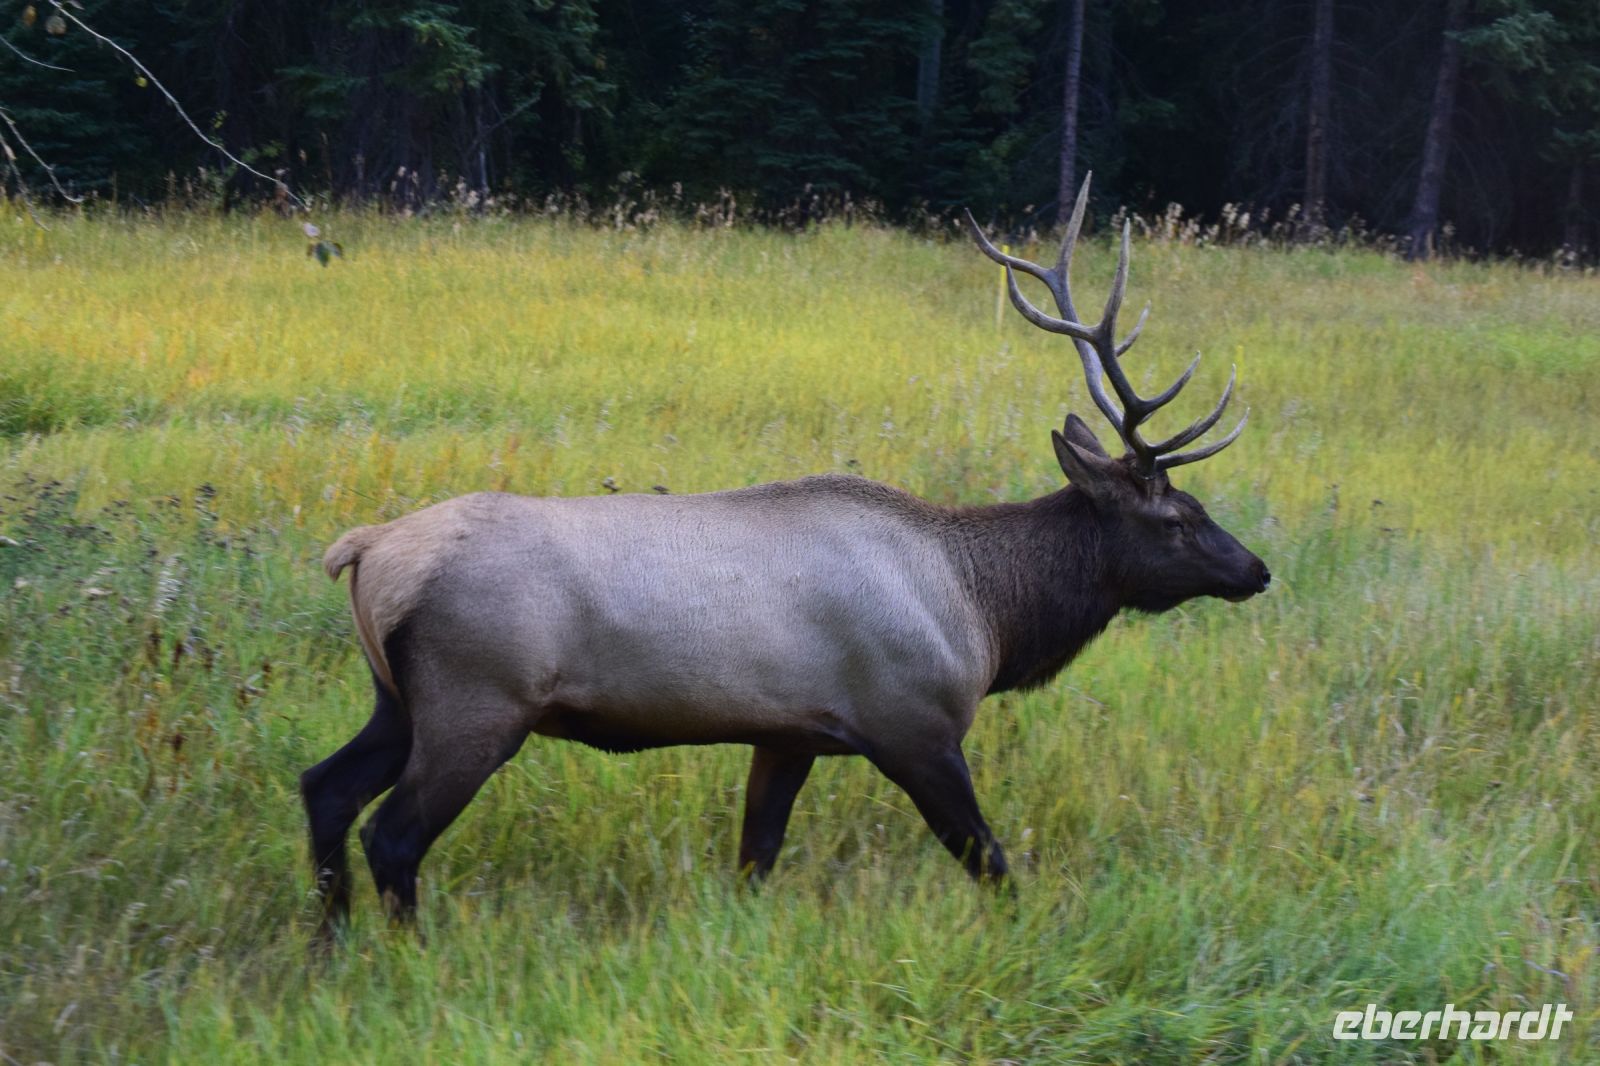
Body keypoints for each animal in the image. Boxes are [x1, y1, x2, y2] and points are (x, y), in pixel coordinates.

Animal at [300, 175, 1269, 932]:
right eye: (1177, 517)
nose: (1257, 570)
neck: (988, 614)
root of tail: (365, 549)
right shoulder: (912, 724)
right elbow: (991, 863)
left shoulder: (789, 732)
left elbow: (755, 860)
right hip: (478, 700)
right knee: (392, 833)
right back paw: (405, 954)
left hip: (399, 698)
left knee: (323, 788)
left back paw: (332, 945)